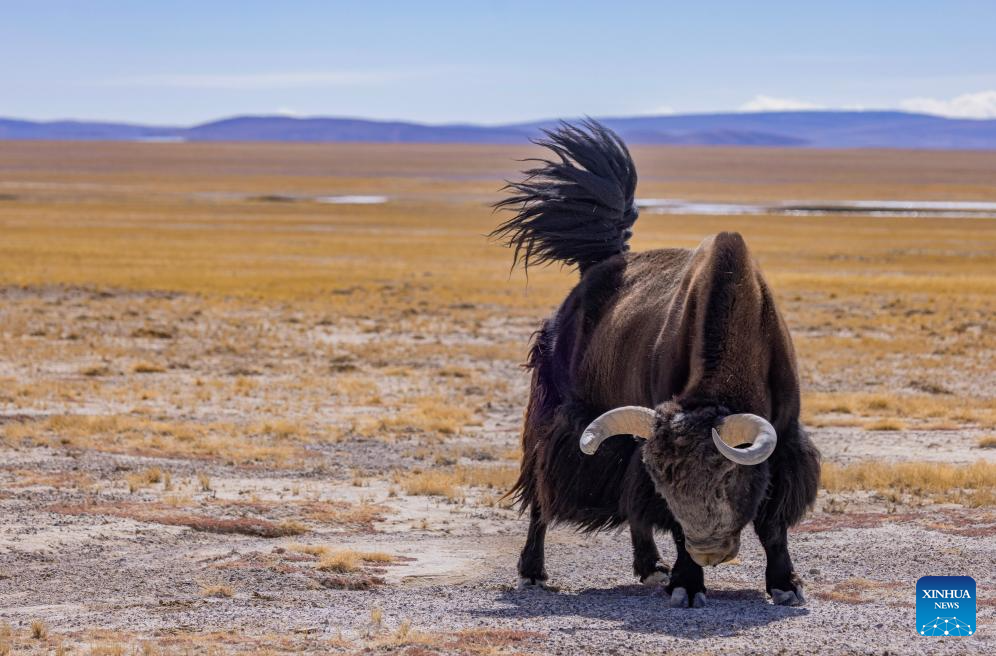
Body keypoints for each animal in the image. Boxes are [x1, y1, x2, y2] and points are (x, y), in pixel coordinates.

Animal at [491, 120, 820, 608]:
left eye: (727, 477)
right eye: (665, 481)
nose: (709, 552)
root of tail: (598, 264)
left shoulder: (784, 440)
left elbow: (773, 522)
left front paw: (785, 585)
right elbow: (658, 509)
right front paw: (686, 584)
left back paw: (650, 567)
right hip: (553, 414)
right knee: (541, 491)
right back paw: (533, 572)